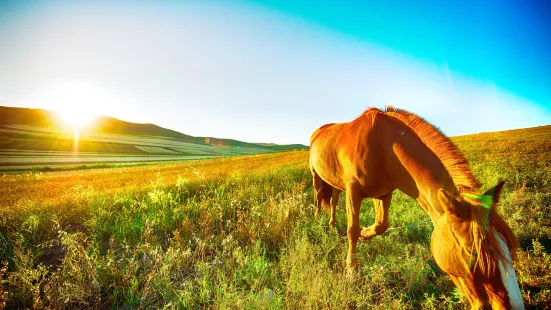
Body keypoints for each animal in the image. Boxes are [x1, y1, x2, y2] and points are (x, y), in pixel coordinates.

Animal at [310, 107, 528, 310]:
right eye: (472, 251)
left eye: (509, 249)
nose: (513, 306)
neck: (383, 145)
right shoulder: (353, 191)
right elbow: (352, 230)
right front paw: (351, 271)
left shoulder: (383, 193)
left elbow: (381, 225)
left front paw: (365, 233)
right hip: (316, 176)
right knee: (321, 197)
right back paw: (319, 221)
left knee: (334, 199)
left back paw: (332, 223)